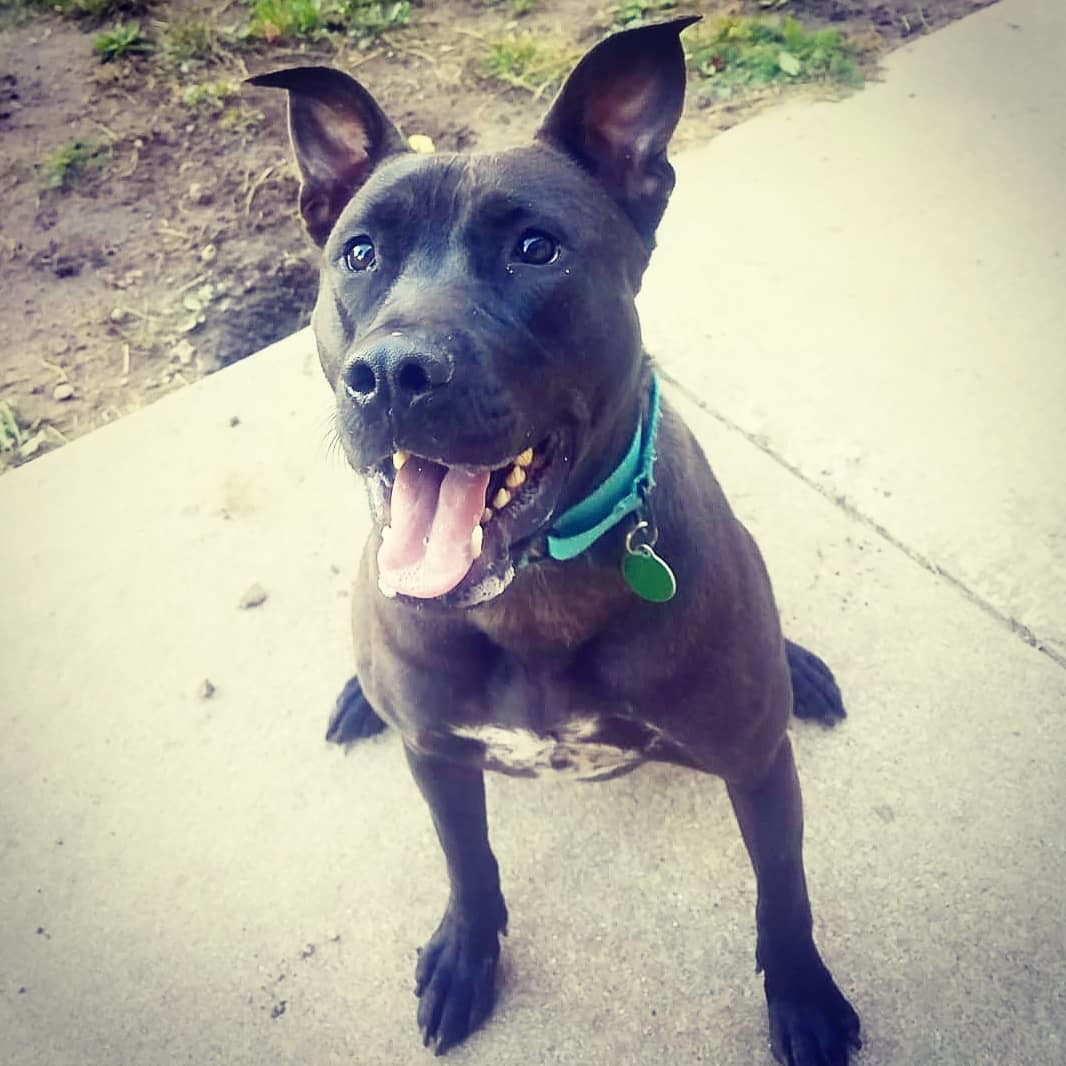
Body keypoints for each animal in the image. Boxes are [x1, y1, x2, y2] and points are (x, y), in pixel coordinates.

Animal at [253, 18, 861, 1066]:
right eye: (360, 253)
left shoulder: (755, 764)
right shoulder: (438, 757)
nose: (393, 373)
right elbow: (467, 862)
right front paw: (467, 955)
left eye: (537, 249)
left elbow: (783, 893)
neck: (533, 595)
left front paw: (804, 996)